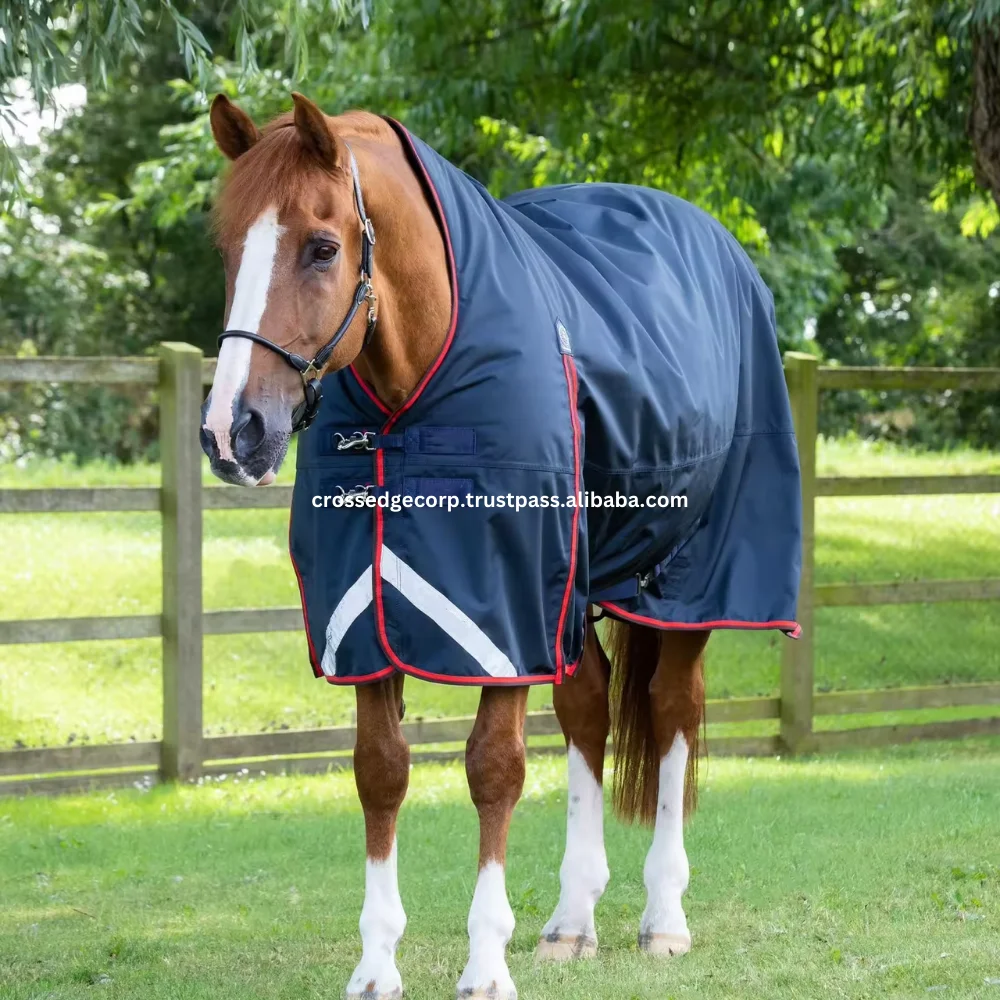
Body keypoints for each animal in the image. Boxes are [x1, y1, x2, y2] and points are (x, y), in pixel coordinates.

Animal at [200, 92, 801, 1000]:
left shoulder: (505, 614)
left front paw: (484, 963)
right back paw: (572, 921)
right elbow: (381, 769)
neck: (421, 387)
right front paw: (376, 967)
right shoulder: (365, 620)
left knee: (672, 712)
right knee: (590, 707)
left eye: (322, 247)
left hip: (687, 582)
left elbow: (493, 769)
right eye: (228, 246)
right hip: (576, 591)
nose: (233, 431)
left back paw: (663, 917)